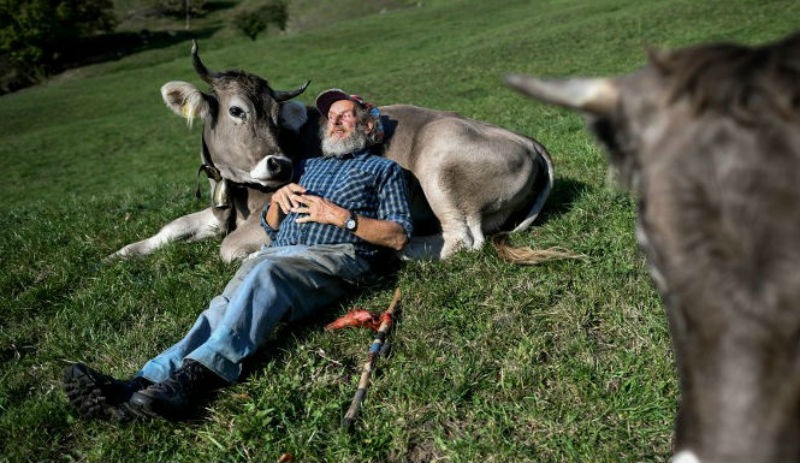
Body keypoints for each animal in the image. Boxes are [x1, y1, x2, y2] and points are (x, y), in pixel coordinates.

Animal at [109, 40, 552, 262]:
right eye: (236, 110)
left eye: (276, 114)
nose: (279, 164)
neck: (237, 194)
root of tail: (528, 139)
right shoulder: (221, 211)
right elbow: (175, 226)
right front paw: (124, 252)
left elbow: (227, 248)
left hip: (440, 162)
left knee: (461, 239)